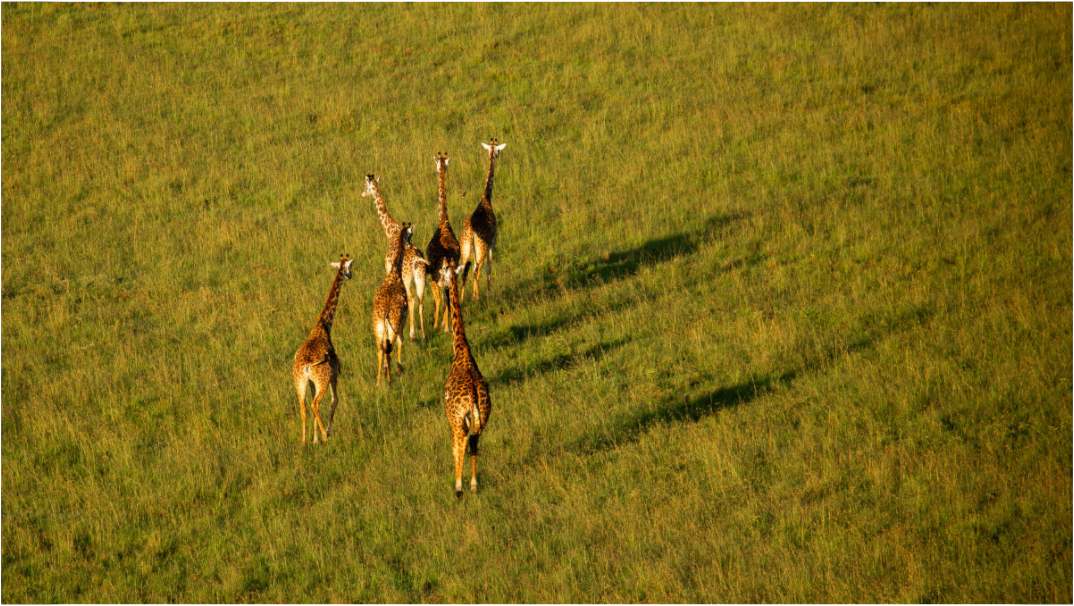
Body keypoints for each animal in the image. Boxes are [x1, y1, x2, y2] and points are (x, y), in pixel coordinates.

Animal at [292, 254, 354, 445]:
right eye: (350, 266)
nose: (350, 276)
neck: (324, 325)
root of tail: (305, 367)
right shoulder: (334, 373)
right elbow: (335, 400)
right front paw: (325, 432)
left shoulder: (312, 382)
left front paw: (314, 438)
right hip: (322, 380)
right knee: (315, 404)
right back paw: (325, 436)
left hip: (300, 382)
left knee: (304, 406)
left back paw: (303, 442)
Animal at [361, 174, 429, 342]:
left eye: (365, 187)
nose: (362, 194)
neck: (391, 231)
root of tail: (417, 261)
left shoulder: (390, 271)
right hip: (421, 277)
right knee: (421, 300)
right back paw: (423, 336)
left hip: (408, 278)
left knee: (411, 299)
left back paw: (412, 335)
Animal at [372, 223, 416, 386]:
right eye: (410, 234)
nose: (410, 244)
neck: (395, 273)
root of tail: (385, 314)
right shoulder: (402, 319)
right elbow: (401, 341)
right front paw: (399, 369)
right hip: (392, 326)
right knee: (389, 348)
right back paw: (390, 379)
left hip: (377, 327)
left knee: (380, 349)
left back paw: (379, 381)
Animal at [459, 138, 506, 302]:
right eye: (497, 151)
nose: (496, 155)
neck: (486, 199)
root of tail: (472, 233)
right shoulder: (493, 242)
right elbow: (488, 267)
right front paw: (487, 292)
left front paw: (474, 294)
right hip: (481, 247)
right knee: (477, 269)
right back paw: (478, 297)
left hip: (465, 248)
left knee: (466, 270)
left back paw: (462, 299)